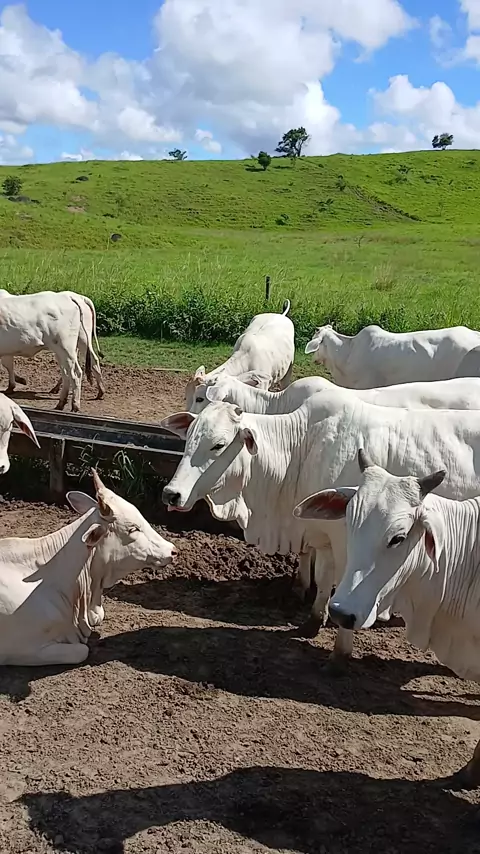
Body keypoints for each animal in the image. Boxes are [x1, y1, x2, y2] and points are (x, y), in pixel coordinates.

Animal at [161, 388, 480, 663]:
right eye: (189, 439)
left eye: (218, 445)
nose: (171, 493)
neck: (302, 448)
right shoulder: (324, 535)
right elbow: (324, 580)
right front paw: (313, 622)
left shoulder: (348, 544)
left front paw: (341, 650)